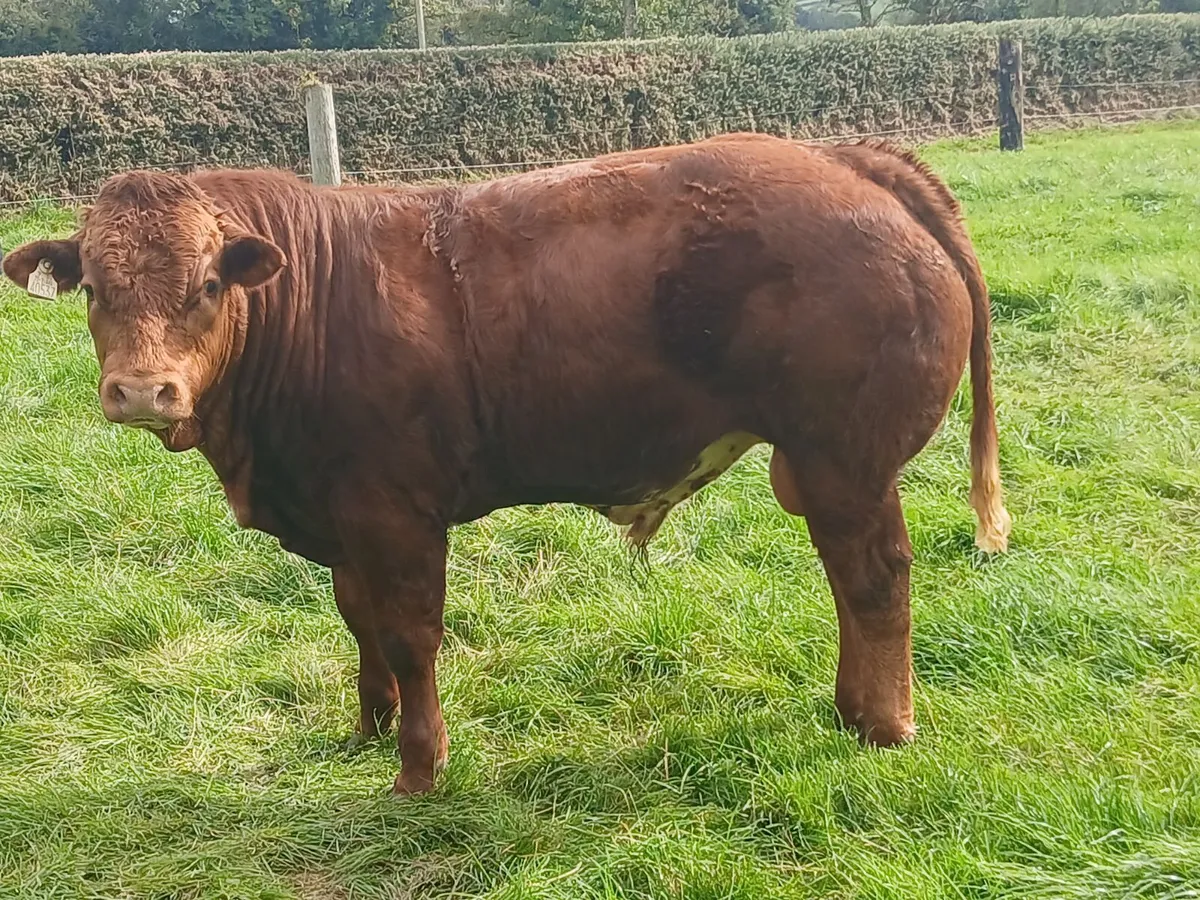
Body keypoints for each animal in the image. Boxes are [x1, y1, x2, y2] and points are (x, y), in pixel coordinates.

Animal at [2, 133, 1011, 795]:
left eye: (208, 282)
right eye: (95, 286)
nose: (144, 390)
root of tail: (845, 157)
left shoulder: (397, 514)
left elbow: (409, 635)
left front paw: (419, 767)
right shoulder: (344, 519)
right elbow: (358, 621)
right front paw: (367, 728)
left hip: (845, 460)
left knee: (874, 580)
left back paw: (879, 726)